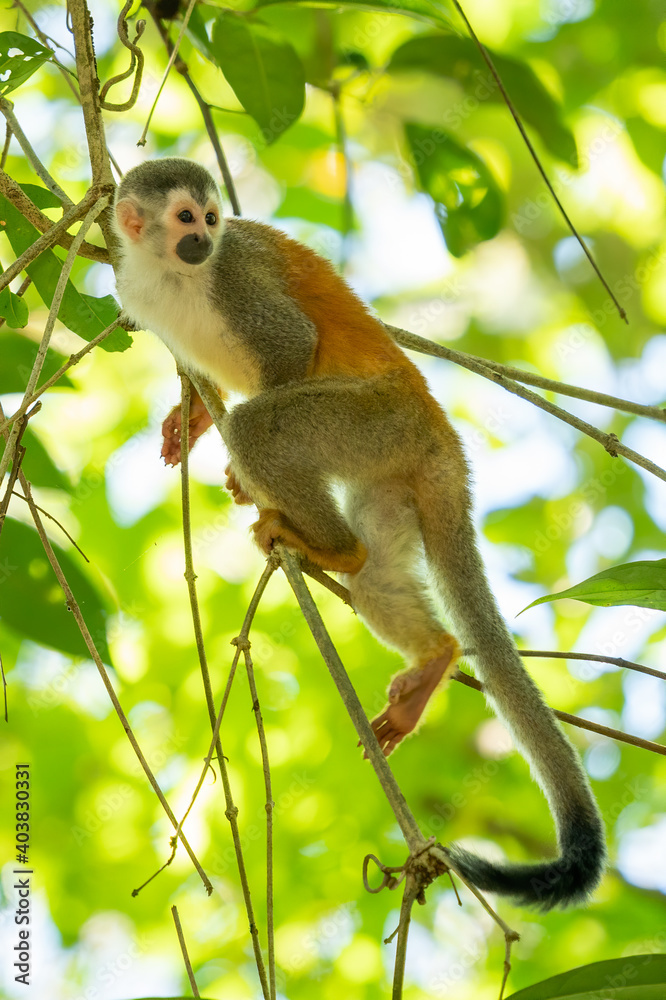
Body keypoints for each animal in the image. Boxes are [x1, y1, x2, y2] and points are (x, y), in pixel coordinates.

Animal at [112, 157, 605, 909]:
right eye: (184, 218)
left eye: (210, 219)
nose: (203, 239)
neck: (169, 272)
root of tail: (436, 432)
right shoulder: (131, 286)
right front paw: (189, 416)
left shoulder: (236, 277)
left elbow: (291, 348)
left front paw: (232, 464)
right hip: (385, 469)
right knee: (374, 573)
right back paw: (432, 652)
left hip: (372, 418)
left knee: (262, 427)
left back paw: (323, 541)